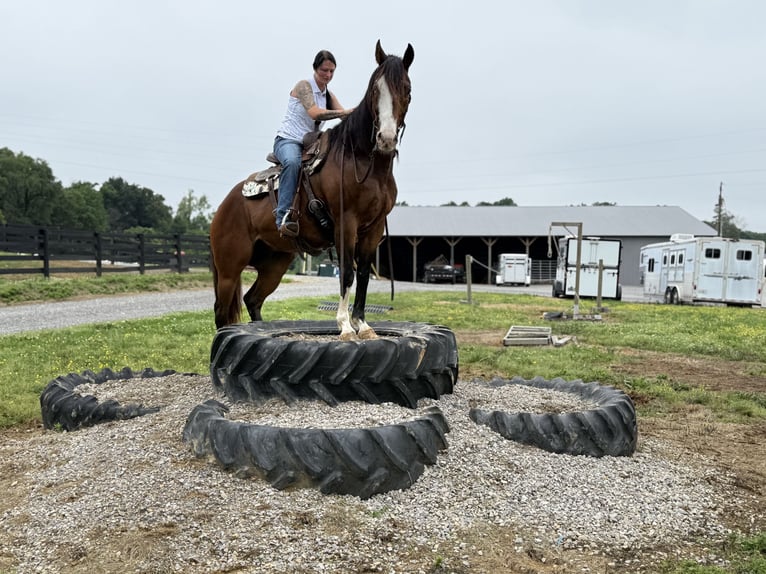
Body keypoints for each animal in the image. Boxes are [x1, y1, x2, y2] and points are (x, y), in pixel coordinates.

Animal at [209, 40, 414, 340]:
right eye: (375, 89)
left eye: (407, 90)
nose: (385, 139)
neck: (363, 161)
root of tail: (224, 206)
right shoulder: (346, 223)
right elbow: (347, 273)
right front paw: (345, 326)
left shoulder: (374, 228)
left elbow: (364, 274)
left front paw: (363, 325)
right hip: (229, 269)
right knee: (222, 314)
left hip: (275, 263)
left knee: (252, 300)